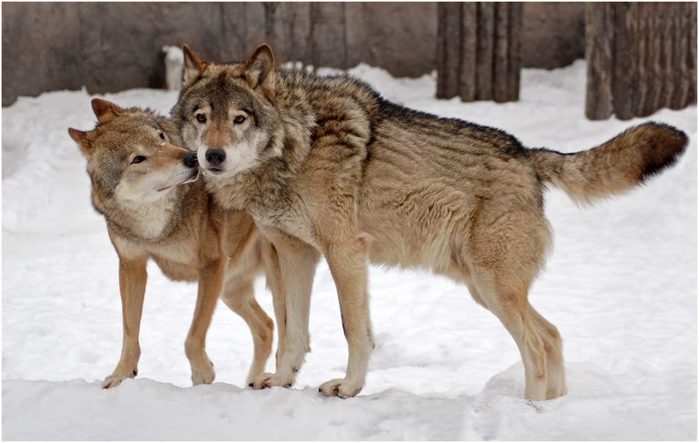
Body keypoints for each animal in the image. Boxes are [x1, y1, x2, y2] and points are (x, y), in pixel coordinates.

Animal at [69, 99, 276, 388]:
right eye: (138, 158)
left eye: (161, 137)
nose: (193, 157)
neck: (157, 229)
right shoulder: (131, 266)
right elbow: (129, 333)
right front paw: (121, 375)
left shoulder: (211, 265)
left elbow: (193, 336)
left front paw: (202, 373)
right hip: (230, 289)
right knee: (267, 327)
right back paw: (253, 381)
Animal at [172, 43, 688, 400]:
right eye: (201, 117)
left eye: (240, 119)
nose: (212, 156)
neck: (296, 145)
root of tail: (528, 154)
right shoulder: (295, 253)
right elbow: (292, 332)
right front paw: (280, 382)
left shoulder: (345, 252)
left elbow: (353, 330)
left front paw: (349, 388)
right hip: (483, 289)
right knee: (554, 335)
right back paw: (549, 408)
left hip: (493, 287)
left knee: (538, 346)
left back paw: (528, 409)